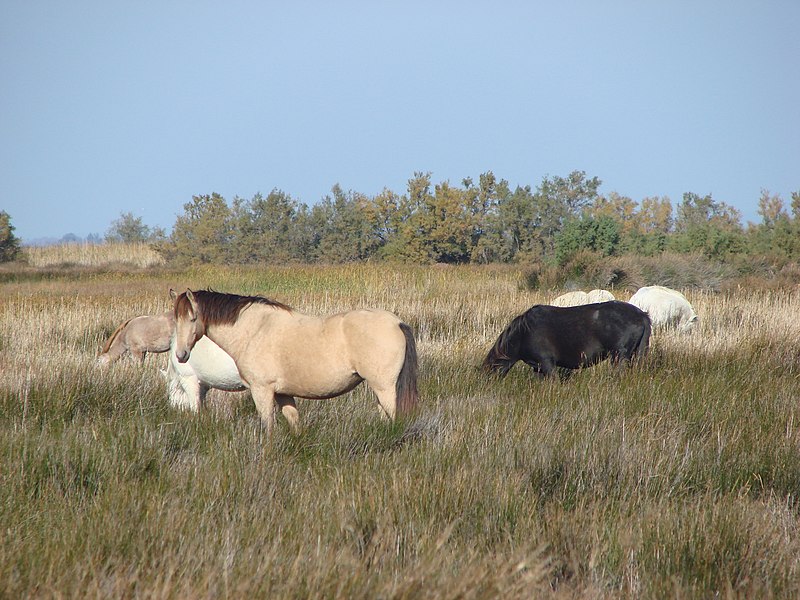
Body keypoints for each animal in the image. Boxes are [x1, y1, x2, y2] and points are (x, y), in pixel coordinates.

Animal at [172, 288, 422, 434]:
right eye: (175, 318)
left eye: (193, 318)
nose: (181, 355)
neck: (255, 329)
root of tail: (396, 322)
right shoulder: (283, 394)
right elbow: (294, 422)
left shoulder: (262, 391)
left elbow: (268, 427)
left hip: (385, 388)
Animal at [482, 302, 648, 378]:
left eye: (489, 373)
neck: (523, 333)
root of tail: (642, 315)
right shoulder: (538, 368)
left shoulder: (547, 364)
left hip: (619, 357)